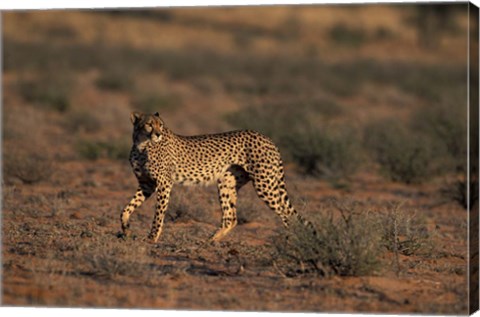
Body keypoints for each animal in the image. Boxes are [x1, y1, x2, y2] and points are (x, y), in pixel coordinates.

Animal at [120, 111, 308, 242]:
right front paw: (126, 230)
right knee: (231, 218)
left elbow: (158, 214)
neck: (142, 145)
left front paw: (152, 238)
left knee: (286, 214)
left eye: (161, 125)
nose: (158, 134)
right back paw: (209, 241)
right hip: (227, 182)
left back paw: (291, 241)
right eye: (149, 124)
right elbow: (126, 209)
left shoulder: (164, 183)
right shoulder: (146, 184)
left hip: (264, 184)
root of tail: (267, 138)